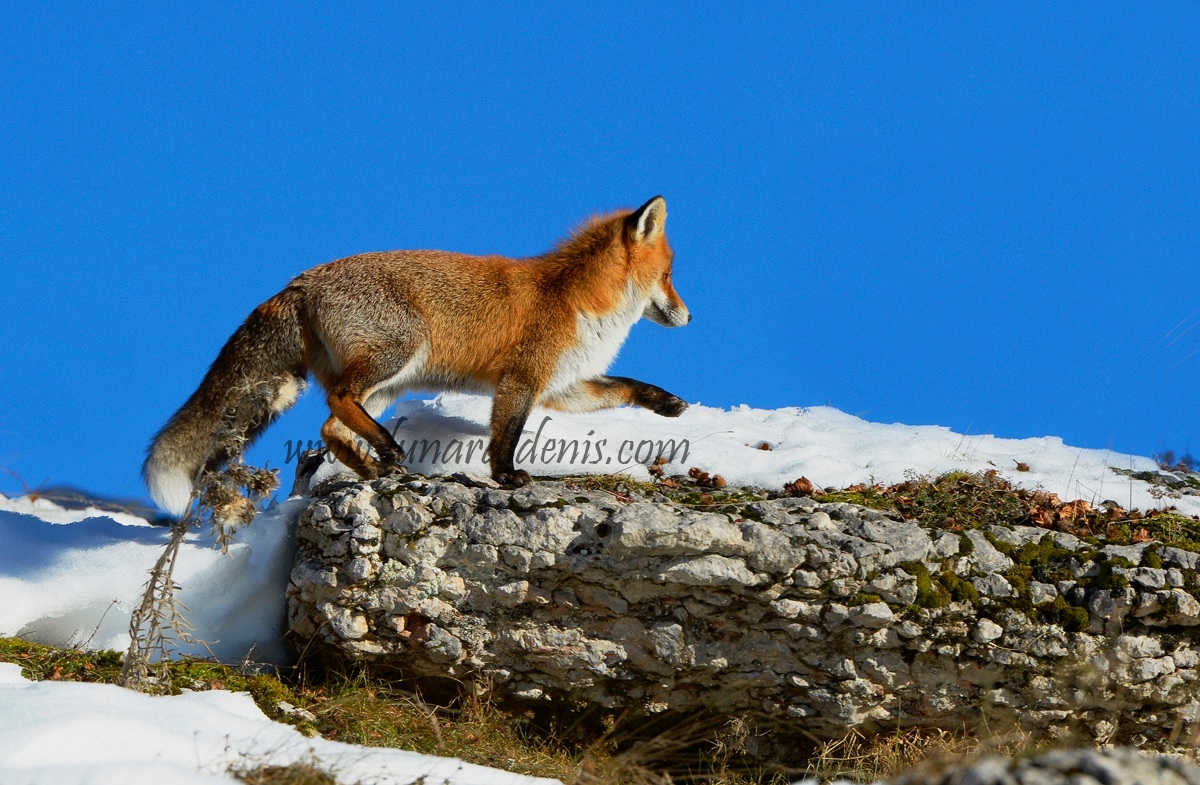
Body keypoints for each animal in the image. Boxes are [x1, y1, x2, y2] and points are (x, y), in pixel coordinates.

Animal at [144, 196, 691, 516]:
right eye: (668, 275)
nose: (689, 316)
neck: (577, 299)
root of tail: (300, 280)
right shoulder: (521, 379)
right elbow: (506, 434)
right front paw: (506, 477)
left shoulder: (563, 386)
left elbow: (626, 386)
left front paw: (667, 404)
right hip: (398, 353)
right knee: (338, 402)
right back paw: (385, 452)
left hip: (387, 385)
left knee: (329, 427)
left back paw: (372, 468)